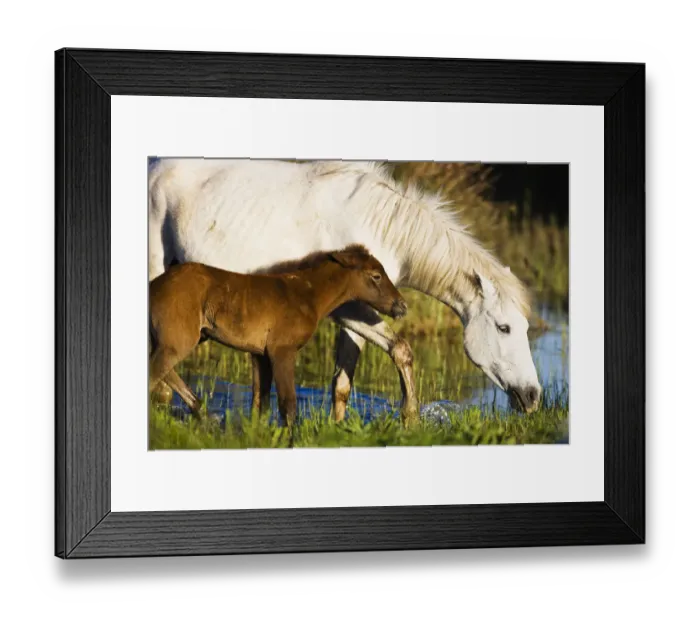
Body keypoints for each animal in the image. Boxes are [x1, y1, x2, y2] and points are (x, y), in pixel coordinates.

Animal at [148, 245, 407, 427]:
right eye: (376, 276)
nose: (402, 306)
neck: (308, 296)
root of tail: (154, 286)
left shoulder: (259, 354)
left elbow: (260, 402)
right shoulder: (282, 349)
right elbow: (288, 404)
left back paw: (203, 412)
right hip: (178, 339)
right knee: (156, 371)